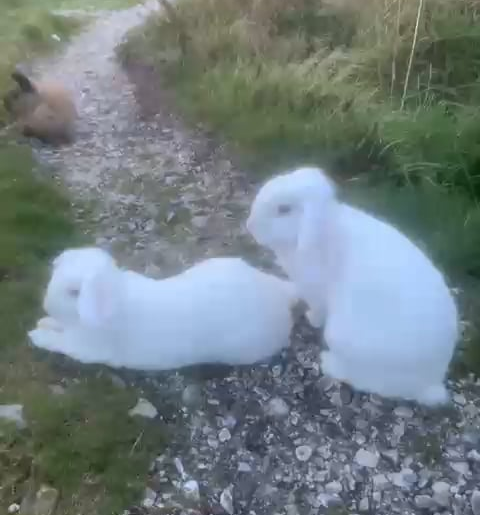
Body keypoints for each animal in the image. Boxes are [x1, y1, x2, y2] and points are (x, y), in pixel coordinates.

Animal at [27, 249, 296, 370]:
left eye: (74, 292)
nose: (46, 304)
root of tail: (280, 294)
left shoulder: (87, 349)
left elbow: (59, 343)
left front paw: (36, 334)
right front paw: (44, 322)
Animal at [246, 167, 460, 406]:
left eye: (283, 209)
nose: (250, 225)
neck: (319, 233)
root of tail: (430, 382)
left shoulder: (315, 291)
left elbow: (317, 310)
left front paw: (311, 319)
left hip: (344, 339)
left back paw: (328, 362)